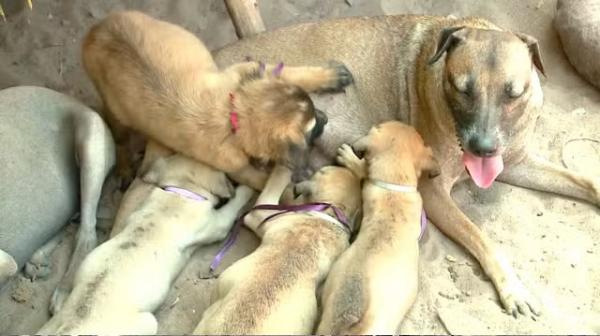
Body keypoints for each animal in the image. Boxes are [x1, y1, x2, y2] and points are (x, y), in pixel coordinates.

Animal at [37, 142, 253, 336]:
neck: (179, 192)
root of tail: (71, 324)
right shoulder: (215, 223)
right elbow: (234, 205)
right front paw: (249, 189)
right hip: (148, 322)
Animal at [79, 10, 352, 189]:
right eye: (311, 128)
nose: (326, 119)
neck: (232, 114)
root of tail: (97, 29)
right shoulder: (238, 169)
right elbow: (265, 184)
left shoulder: (250, 71)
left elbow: (292, 72)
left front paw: (329, 76)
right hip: (114, 108)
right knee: (119, 136)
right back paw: (124, 167)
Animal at [213, 13, 600, 318]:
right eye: (462, 89)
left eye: (514, 93)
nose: (482, 147)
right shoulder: (434, 190)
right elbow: (480, 235)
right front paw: (513, 287)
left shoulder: (515, 161)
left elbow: (587, 182)